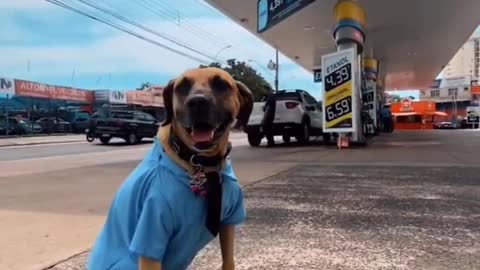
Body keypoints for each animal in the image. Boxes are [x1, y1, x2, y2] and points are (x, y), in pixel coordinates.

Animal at [86, 66, 253, 270]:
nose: (197, 102)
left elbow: (228, 260)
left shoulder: (228, 223)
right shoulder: (151, 235)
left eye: (221, 84)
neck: (204, 165)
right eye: (182, 87)